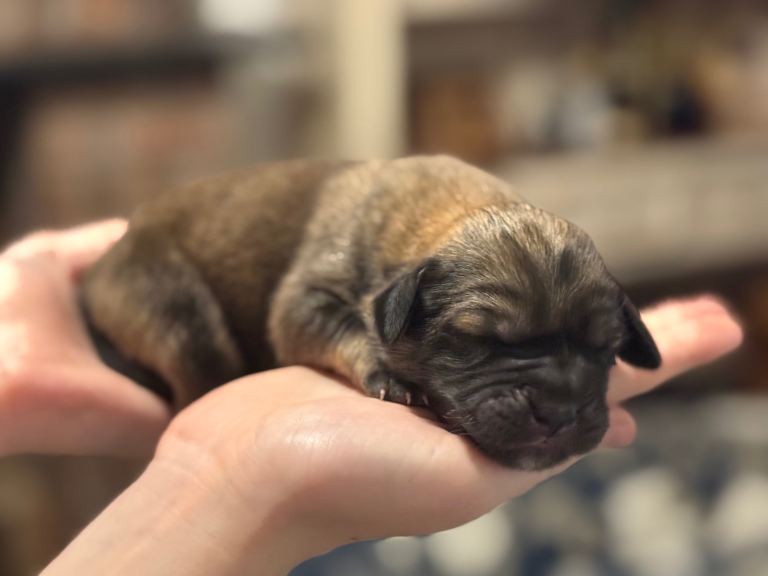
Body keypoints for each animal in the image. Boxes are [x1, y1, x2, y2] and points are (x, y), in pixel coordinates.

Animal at [80, 156, 660, 470]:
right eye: (480, 342)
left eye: (606, 351)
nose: (560, 413)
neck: (448, 210)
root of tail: (100, 270)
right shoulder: (304, 300)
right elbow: (347, 326)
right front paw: (388, 374)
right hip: (169, 300)